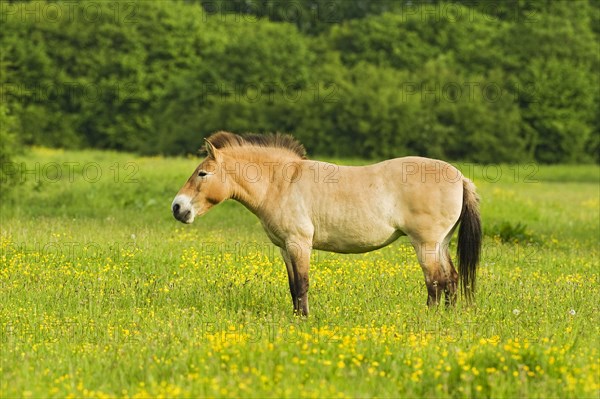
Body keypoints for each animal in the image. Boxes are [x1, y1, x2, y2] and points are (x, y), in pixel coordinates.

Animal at [171, 131, 480, 316]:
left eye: (202, 173)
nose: (178, 207)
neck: (281, 183)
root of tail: (460, 178)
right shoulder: (285, 247)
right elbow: (292, 285)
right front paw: (297, 317)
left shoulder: (299, 243)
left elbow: (302, 284)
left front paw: (304, 319)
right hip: (441, 243)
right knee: (451, 280)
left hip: (425, 244)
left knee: (435, 282)